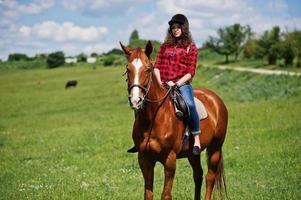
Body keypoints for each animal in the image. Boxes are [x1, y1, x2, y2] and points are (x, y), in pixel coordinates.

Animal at [119, 41, 227, 200]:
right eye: (128, 69)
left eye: (148, 69)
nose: (135, 100)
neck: (154, 119)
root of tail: (215, 99)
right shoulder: (144, 159)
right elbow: (148, 194)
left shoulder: (170, 159)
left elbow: (166, 194)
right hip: (193, 153)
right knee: (198, 175)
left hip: (215, 148)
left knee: (210, 177)